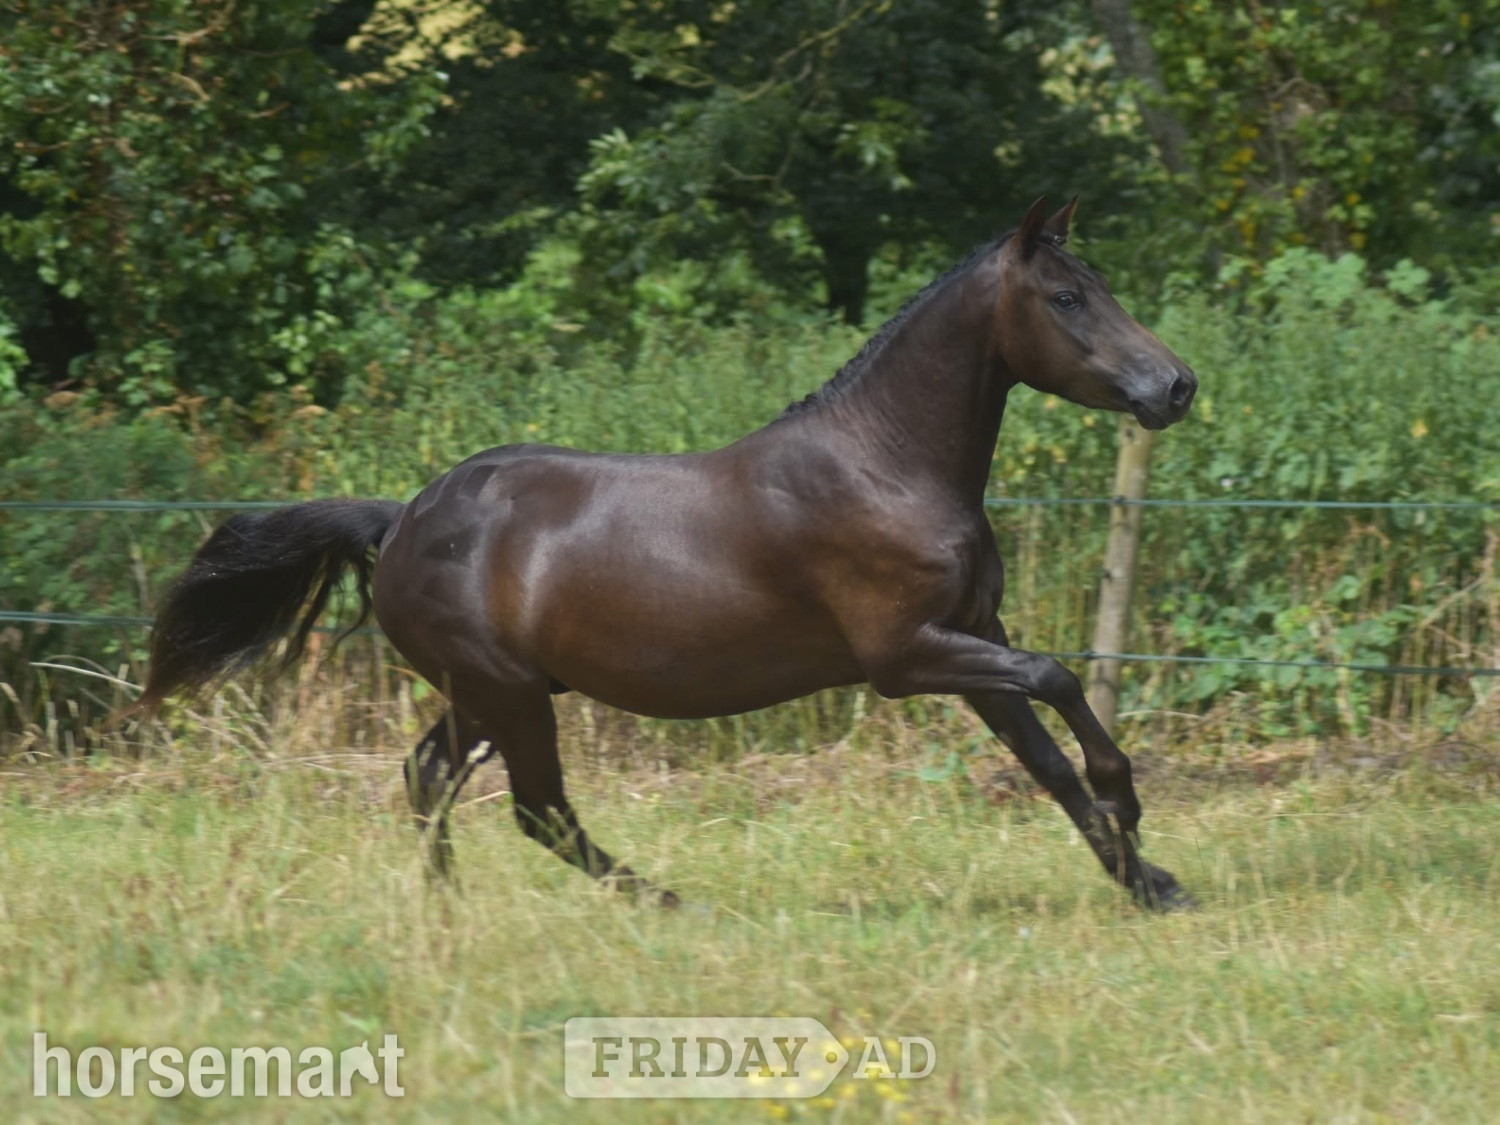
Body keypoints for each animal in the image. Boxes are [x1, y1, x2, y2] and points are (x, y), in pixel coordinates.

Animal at [137, 197, 1198, 910]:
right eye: (1067, 296)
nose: (1176, 386)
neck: (884, 464)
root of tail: (400, 519)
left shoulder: (973, 639)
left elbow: (1046, 760)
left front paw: (1148, 881)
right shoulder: (908, 656)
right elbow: (1062, 680)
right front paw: (1133, 806)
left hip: (484, 694)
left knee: (430, 776)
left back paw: (449, 911)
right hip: (507, 695)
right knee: (538, 809)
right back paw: (670, 902)